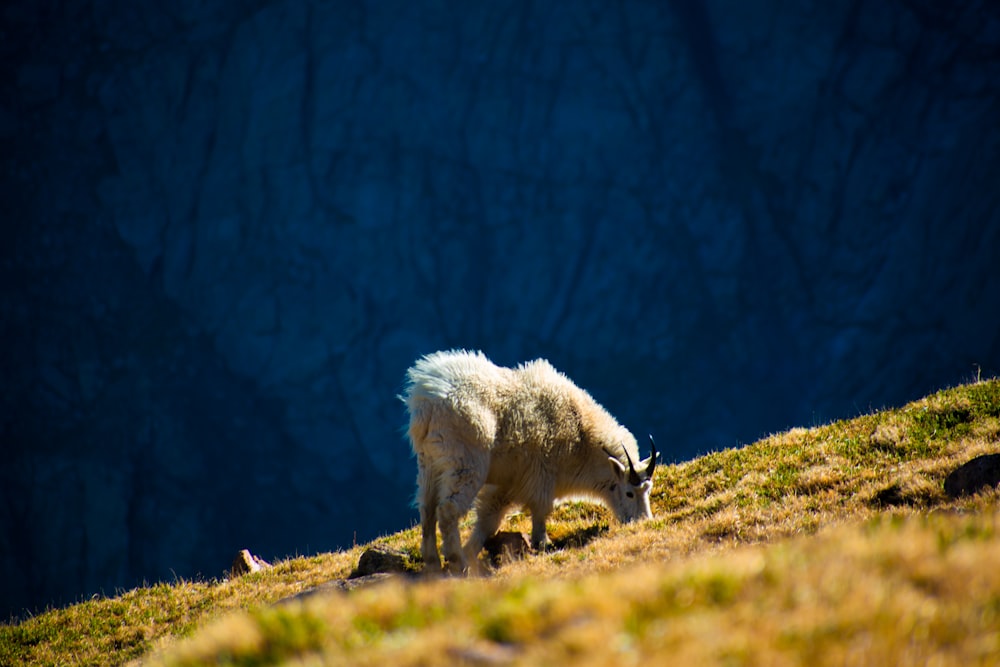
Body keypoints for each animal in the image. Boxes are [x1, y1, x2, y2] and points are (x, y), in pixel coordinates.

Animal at [398, 350, 656, 576]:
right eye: (629, 492)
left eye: (648, 490)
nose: (644, 521)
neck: (581, 435)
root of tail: (427, 400)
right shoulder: (541, 473)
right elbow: (541, 509)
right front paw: (542, 543)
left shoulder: (507, 484)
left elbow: (489, 520)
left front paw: (472, 550)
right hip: (465, 462)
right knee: (448, 510)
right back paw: (457, 561)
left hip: (429, 464)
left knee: (427, 509)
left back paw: (433, 562)